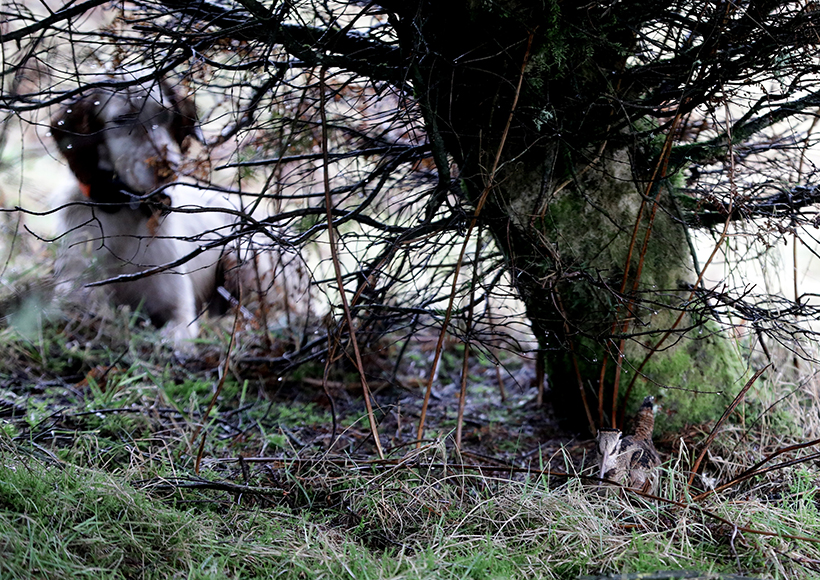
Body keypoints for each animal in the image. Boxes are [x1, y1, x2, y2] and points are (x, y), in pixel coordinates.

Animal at [51, 77, 239, 340]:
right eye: (122, 119)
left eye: (166, 114)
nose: (168, 168)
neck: (125, 209)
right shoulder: (72, 291)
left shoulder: (179, 313)